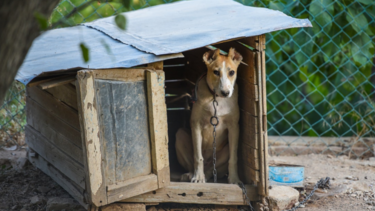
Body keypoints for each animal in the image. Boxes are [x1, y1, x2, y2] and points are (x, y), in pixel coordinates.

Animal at [175, 47, 242, 183]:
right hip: (180, 135)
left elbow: (233, 159)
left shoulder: (234, 127)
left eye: (232, 72)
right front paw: (198, 177)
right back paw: (191, 175)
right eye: (216, 72)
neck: (216, 99)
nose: (226, 93)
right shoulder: (196, 125)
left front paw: (234, 179)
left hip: (225, 149)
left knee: (212, 170)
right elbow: (198, 157)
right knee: (194, 164)